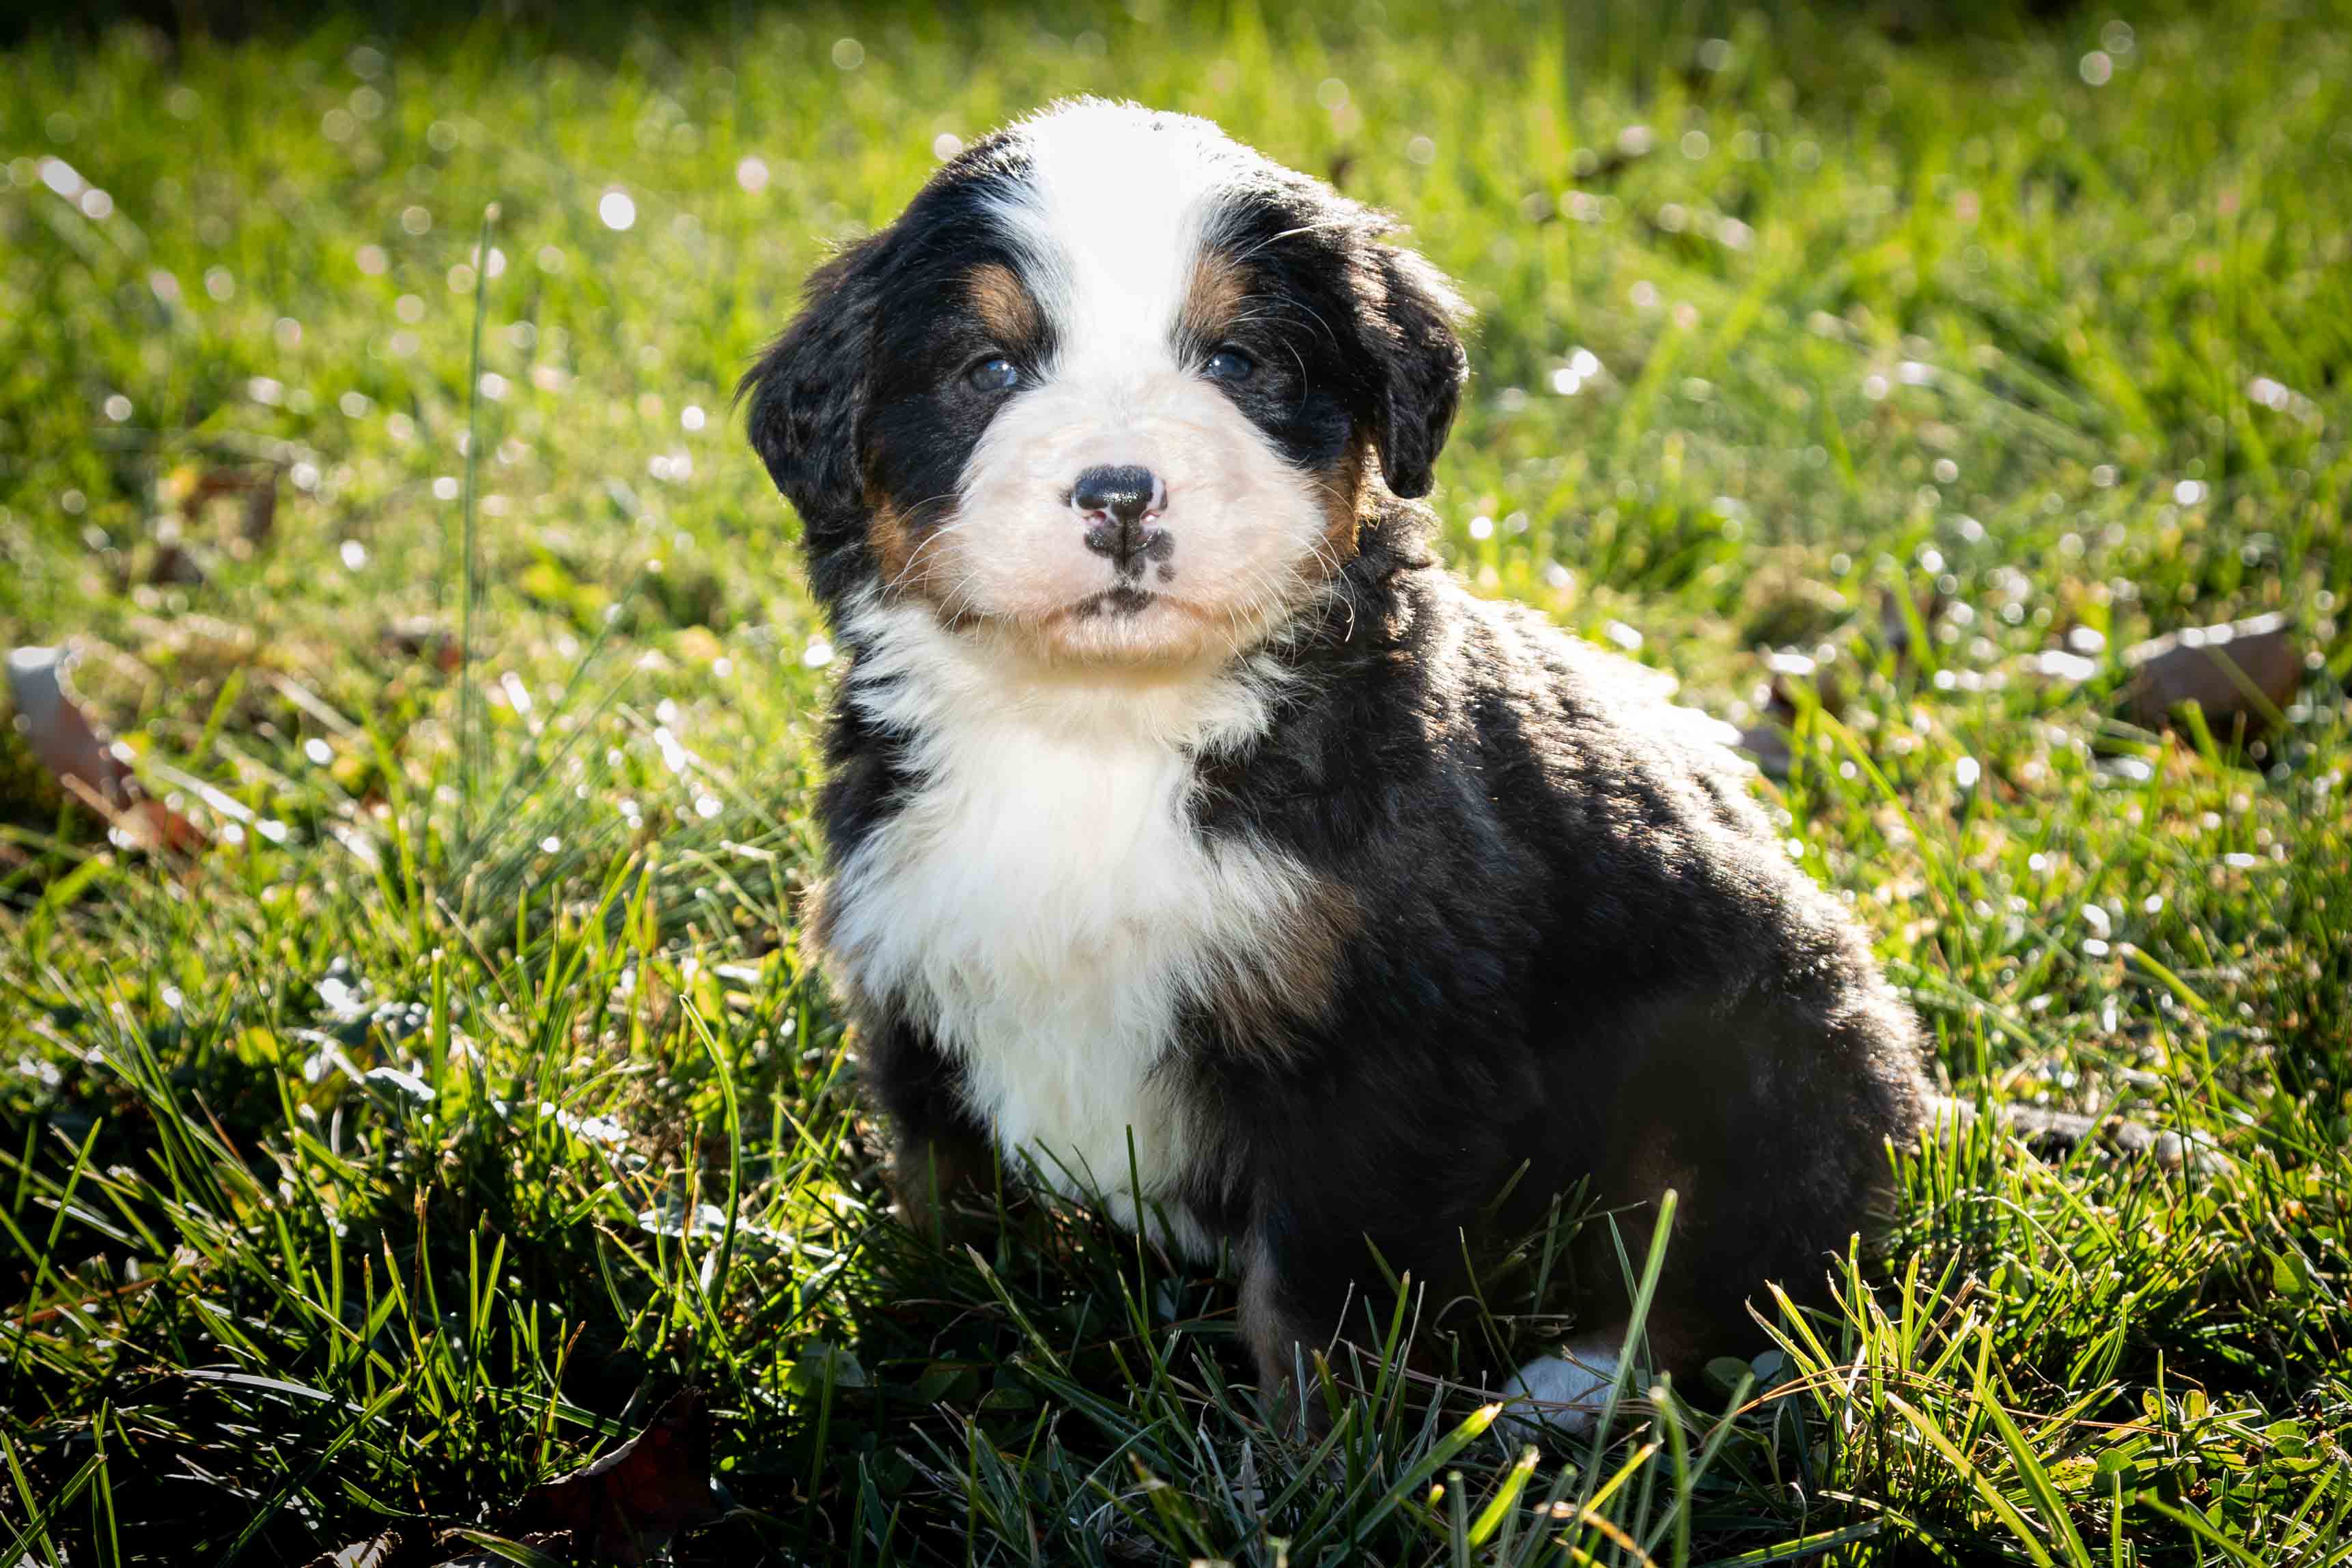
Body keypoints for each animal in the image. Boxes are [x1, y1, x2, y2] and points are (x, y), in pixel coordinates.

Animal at [748, 98, 1929, 1438]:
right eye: (987, 371)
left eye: (1236, 362)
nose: (1119, 494)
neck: (1096, 729)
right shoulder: (912, 971)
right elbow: (948, 1206)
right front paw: (928, 1357)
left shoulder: (1374, 1049)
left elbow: (1310, 1298)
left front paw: (1319, 1458)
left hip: (1758, 1050)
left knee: (1726, 1265)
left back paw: (1565, 1389)